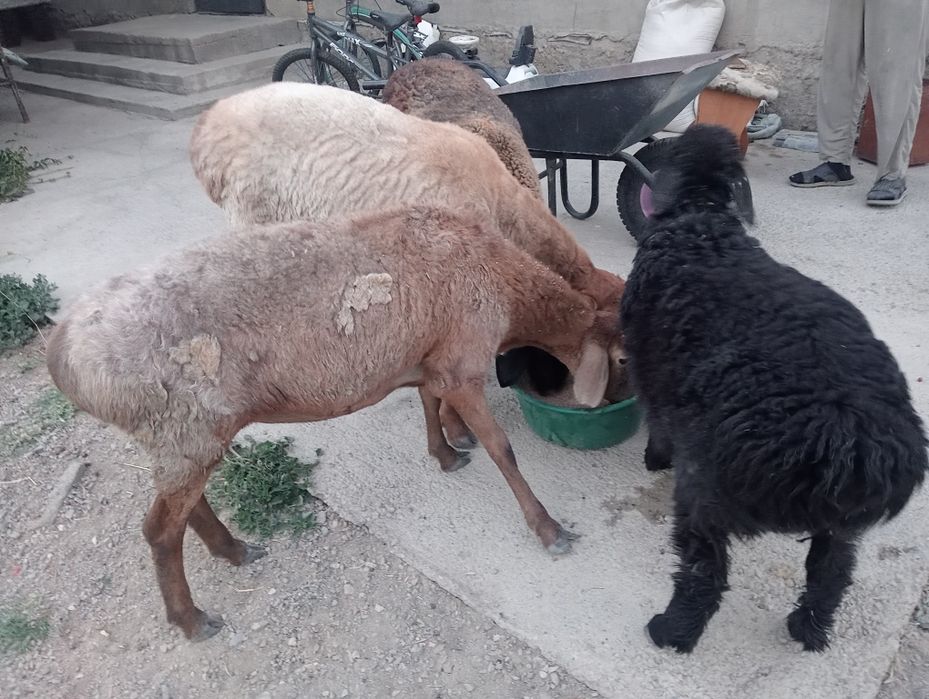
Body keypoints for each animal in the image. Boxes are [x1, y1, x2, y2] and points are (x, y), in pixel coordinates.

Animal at [46, 206, 621, 642]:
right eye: (621, 359)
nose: (619, 404)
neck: (504, 280)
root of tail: (63, 356)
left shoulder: (426, 355)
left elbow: (427, 401)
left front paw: (445, 454)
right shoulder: (463, 359)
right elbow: (503, 449)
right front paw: (549, 530)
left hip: (180, 436)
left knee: (187, 507)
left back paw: (233, 550)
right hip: (182, 423)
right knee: (160, 530)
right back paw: (193, 619)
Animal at [189, 81, 626, 447]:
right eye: (622, 357)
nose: (614, 401)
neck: (503, 209)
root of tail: (208, 125)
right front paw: (455, 427)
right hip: (254, 219)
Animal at [620, 124, 928, 653]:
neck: (702, 226)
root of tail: (847, 444)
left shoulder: (650, 365)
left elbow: (656, 420)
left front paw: (655, 457)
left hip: (705, 494)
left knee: (705, 573)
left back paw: (672, 630)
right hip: (841, 527)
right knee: (831, 573)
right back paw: (808, 628)